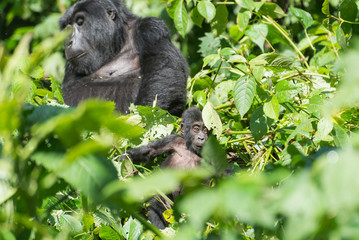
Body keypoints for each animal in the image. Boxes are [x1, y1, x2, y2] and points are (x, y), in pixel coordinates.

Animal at [59, 0, 188, 116]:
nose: (68, 42)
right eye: (66, 29)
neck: (119, 41)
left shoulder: (150, 28)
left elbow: (163, 72)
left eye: (80, 22)